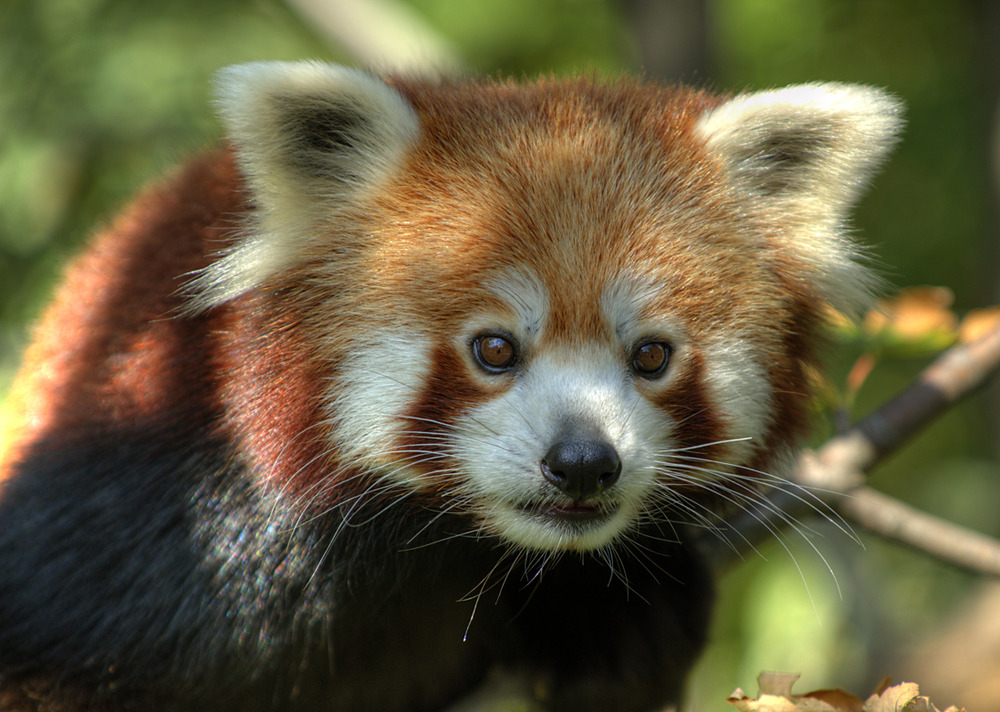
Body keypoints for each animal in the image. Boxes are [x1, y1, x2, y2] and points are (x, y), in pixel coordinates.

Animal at [0, 62, 900, 712]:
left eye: (651, 356)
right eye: (494, 349)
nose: (583, 464)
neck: (439, 553)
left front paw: (613, 622)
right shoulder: (159, 514)